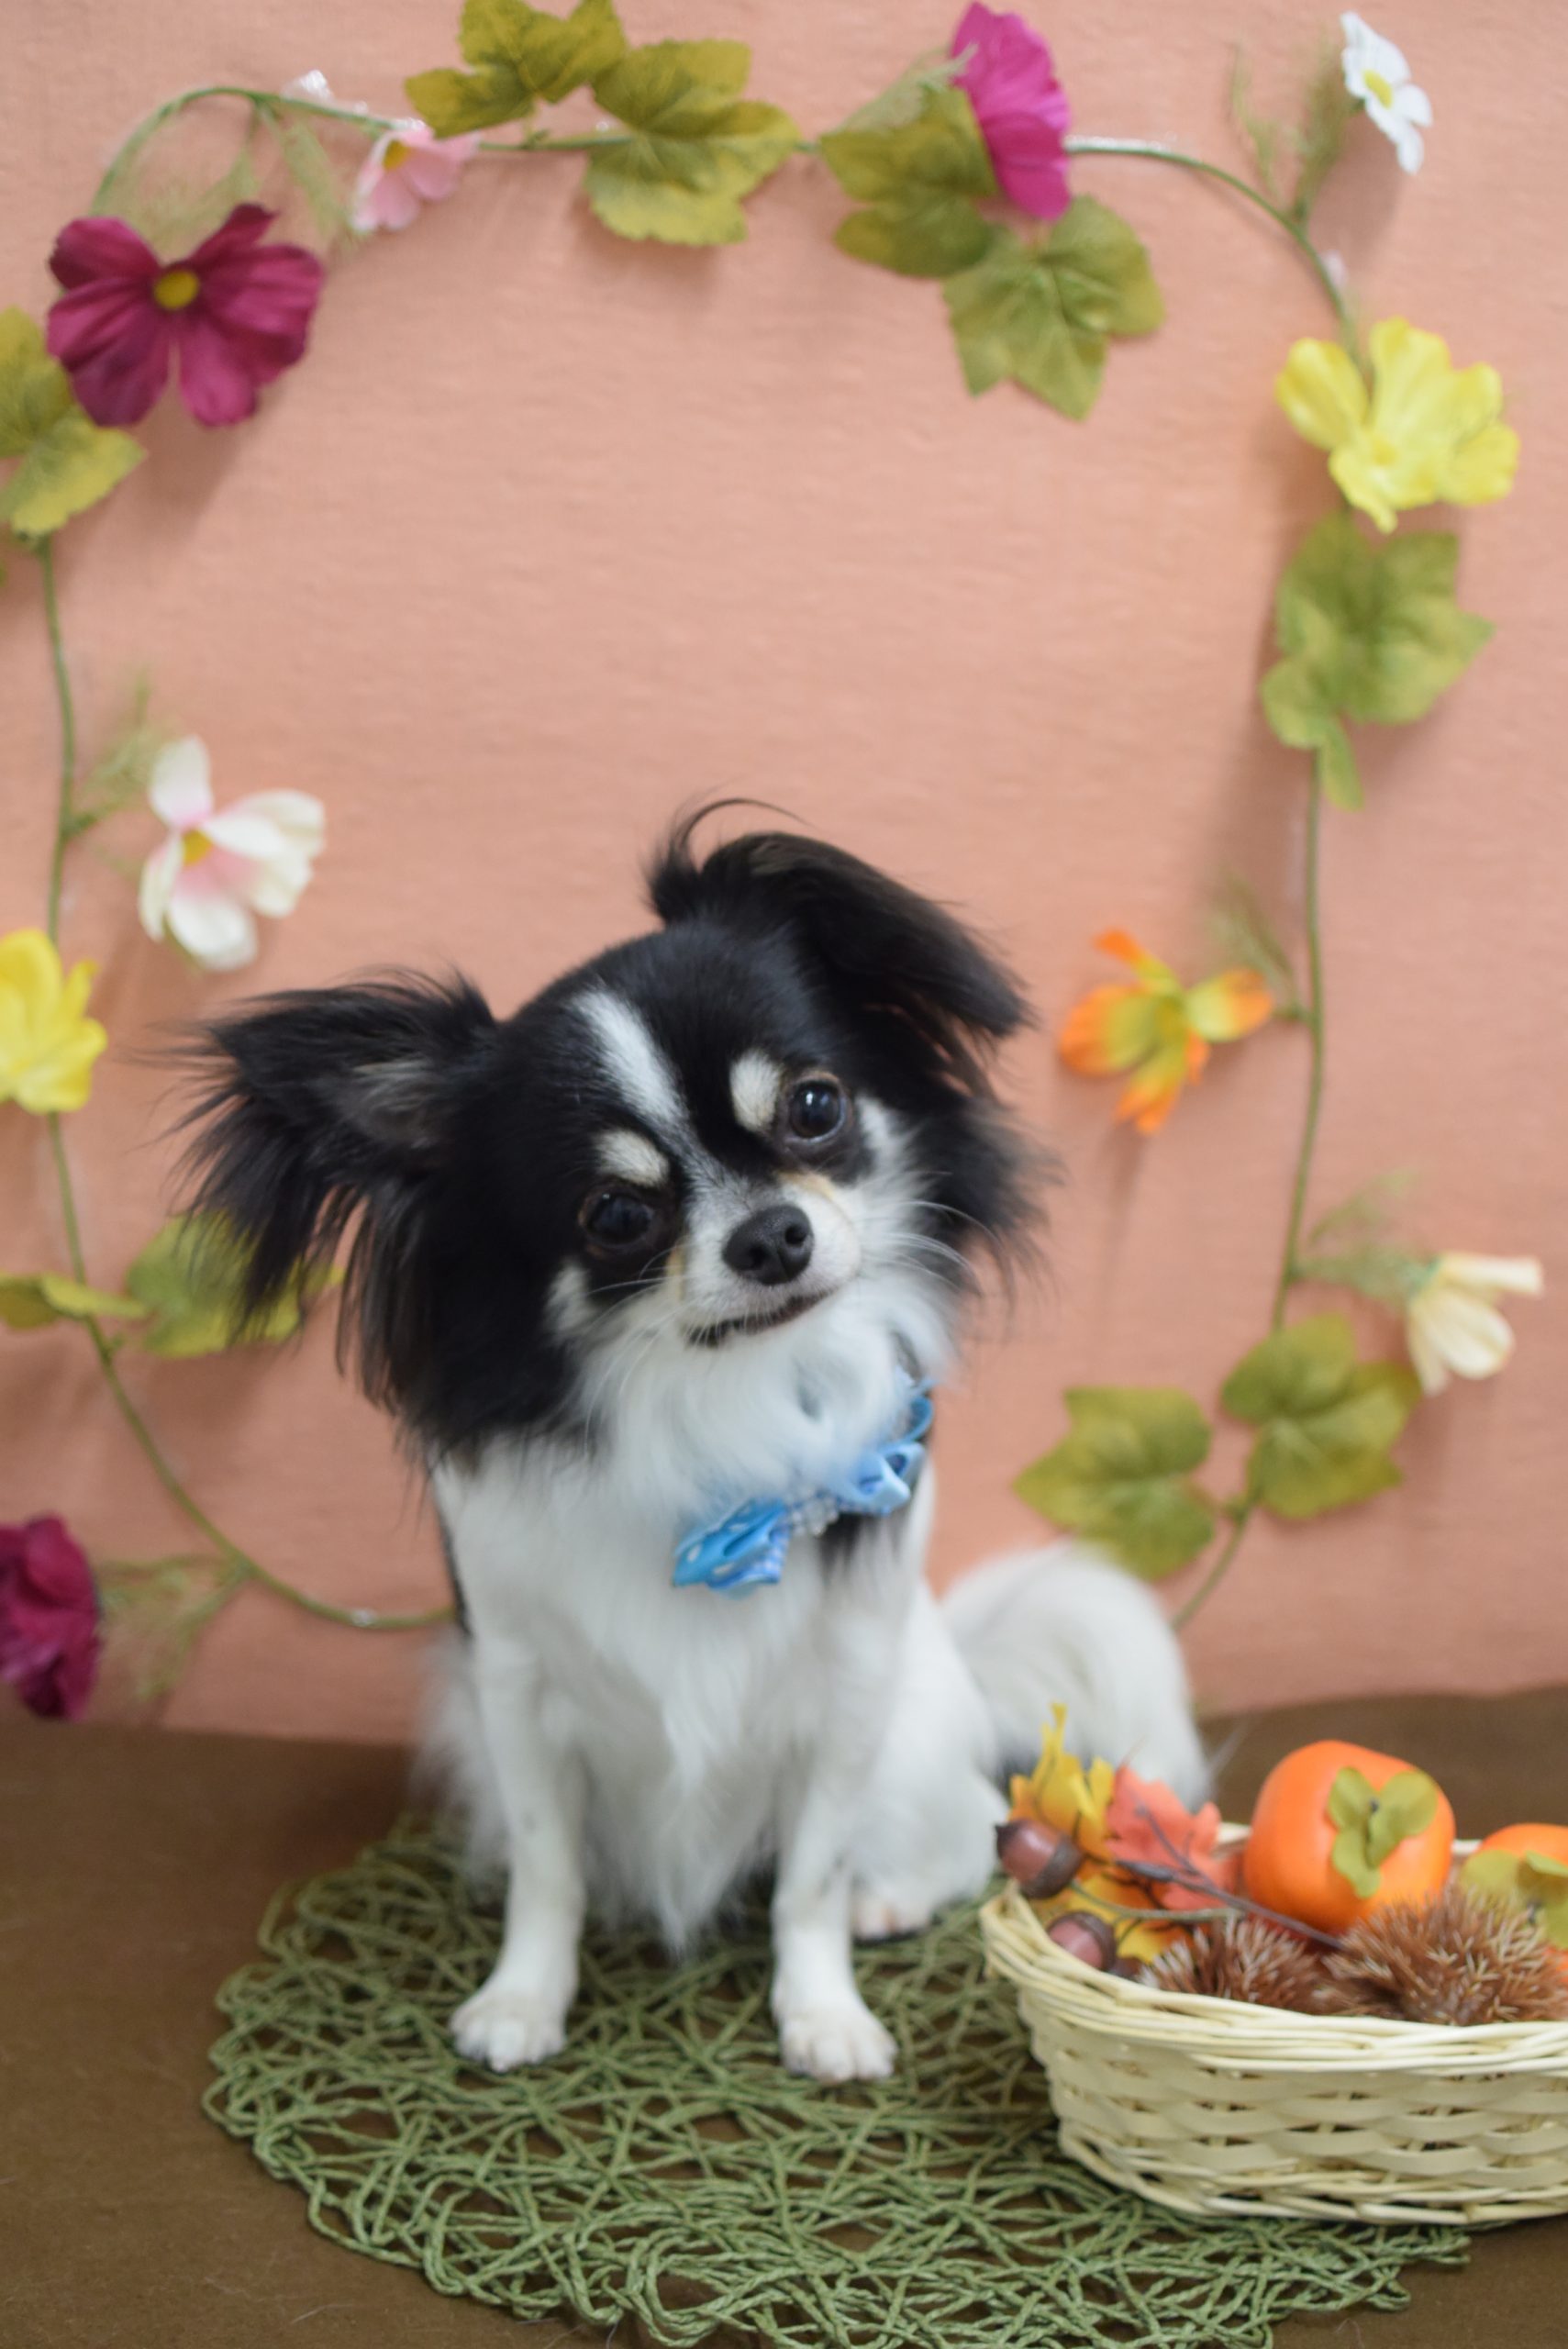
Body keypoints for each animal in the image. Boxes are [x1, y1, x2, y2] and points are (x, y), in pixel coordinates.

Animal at [182, 813, 1205, 2082]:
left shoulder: (846, 1691)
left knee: (968, 1831)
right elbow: (548, 1867)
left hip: (915, 1721)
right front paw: (524, 1998)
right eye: (616, 1216)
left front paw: (823, 2013)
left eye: (814, 1105)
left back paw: (889, 1895)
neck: (713, 1399)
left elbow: (807, 1879)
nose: (772, 1233)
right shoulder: (515, 1691)